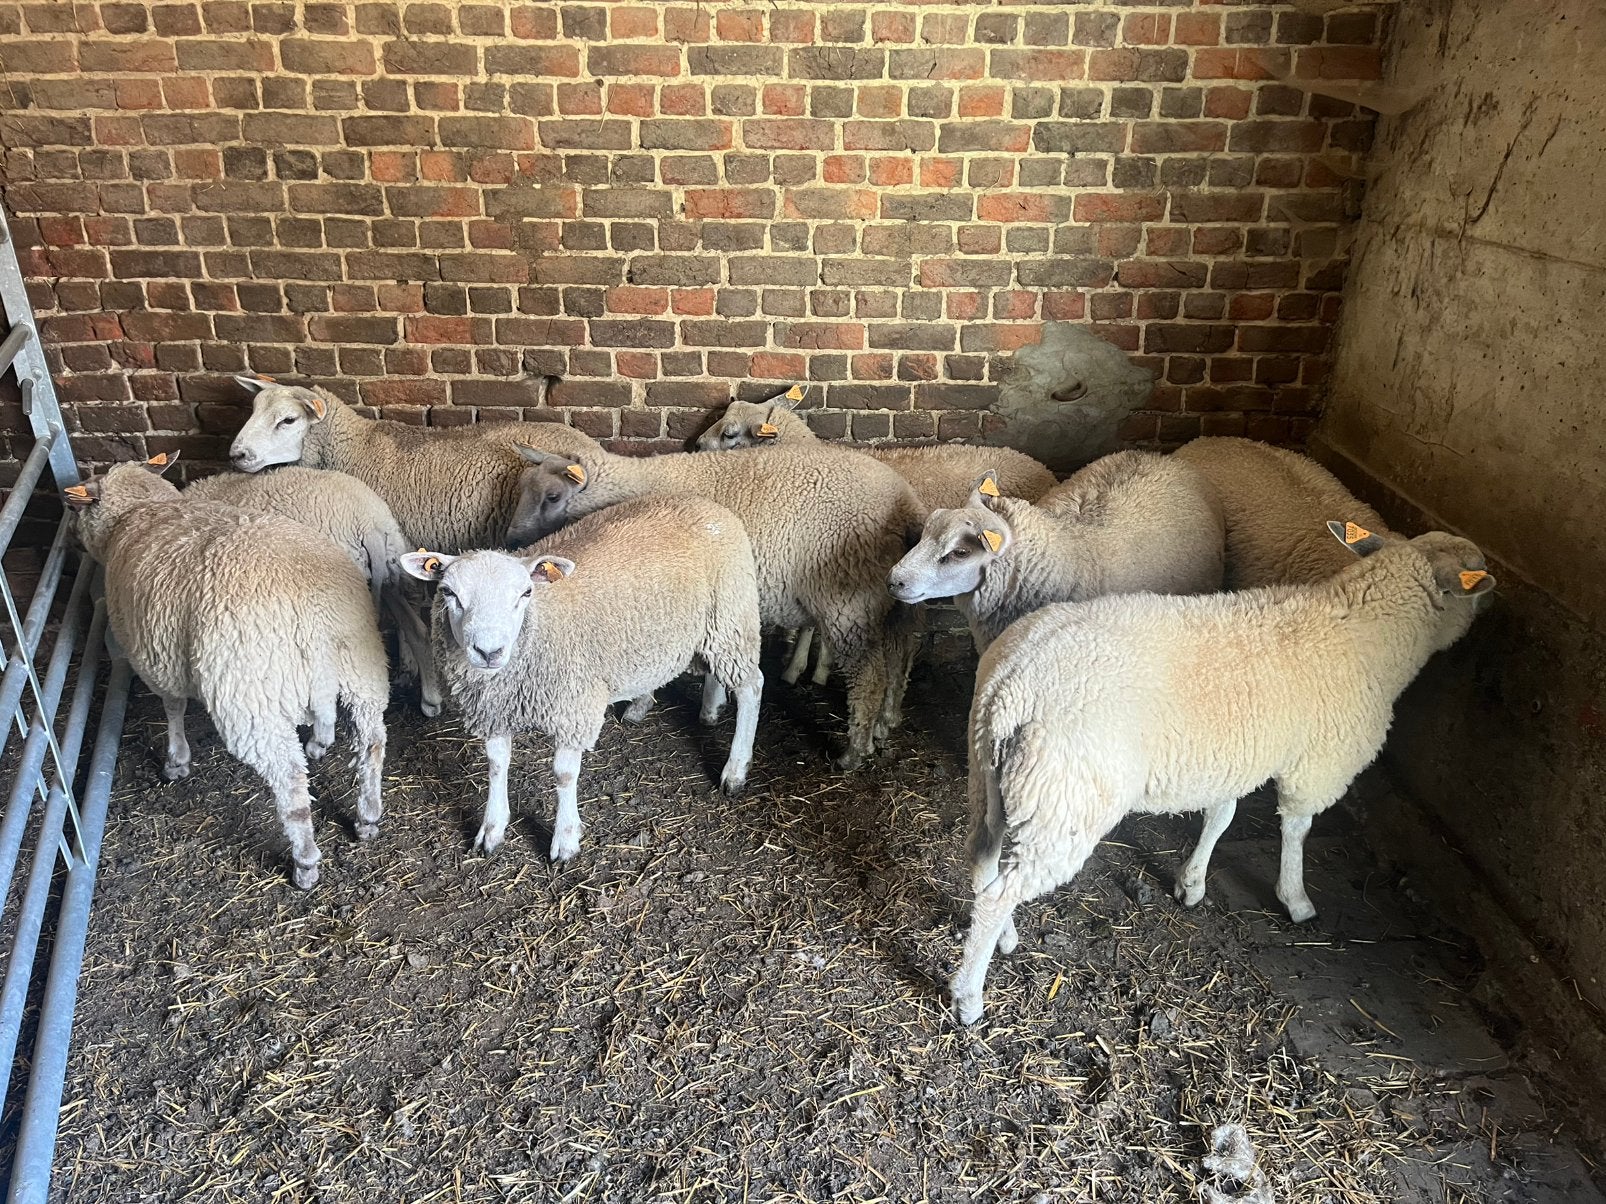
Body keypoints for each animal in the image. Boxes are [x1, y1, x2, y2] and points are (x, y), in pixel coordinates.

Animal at [64, 453, 390, 890]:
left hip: (249, 697)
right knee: (372, 743)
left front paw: (177, 761)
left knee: (290, 780)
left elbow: (172, 708)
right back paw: (367, 815)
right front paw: (321, 740)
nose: (69, 537)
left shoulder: (155, 656)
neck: (142, 510)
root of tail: (314, 610)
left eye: (78, 506)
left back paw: (305, 861)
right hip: (360, 664)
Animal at [400, 495, 763, 861]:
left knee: (752, 686)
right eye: (449, 592)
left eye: (525, 593)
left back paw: (735, 771)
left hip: (732, 615)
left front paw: (565, 839)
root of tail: (705, 503)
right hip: (710, 627)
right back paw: (699, 710)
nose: (489, 652)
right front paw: (492, 830)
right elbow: (496, 765)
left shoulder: (573, 706)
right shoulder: (493, 711)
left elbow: (563, 775)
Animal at [503, 441, 924, 769]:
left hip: (849, 601)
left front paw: (645, 704)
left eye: (552, 496)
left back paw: (854, 749)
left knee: (869, 673)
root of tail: (907, 506)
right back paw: (885, 723)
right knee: (900, 657)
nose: (510, 541)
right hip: (894, 601)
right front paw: (712, 702)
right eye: (522, 488)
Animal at [948, 521, 1495, 1023]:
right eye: (1476, 578)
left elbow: (1222, 817)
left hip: (994, 780)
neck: (1365, 630)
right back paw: (969, 996)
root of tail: (1011, 686)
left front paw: (1191, 884)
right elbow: (1297, 830)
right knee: (1000, 894)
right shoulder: (1316, 764)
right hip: (1064, 801)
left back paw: (1004, 940)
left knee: (983, 863)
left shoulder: (1232, 757)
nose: (1490, 611)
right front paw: (1295, 899)